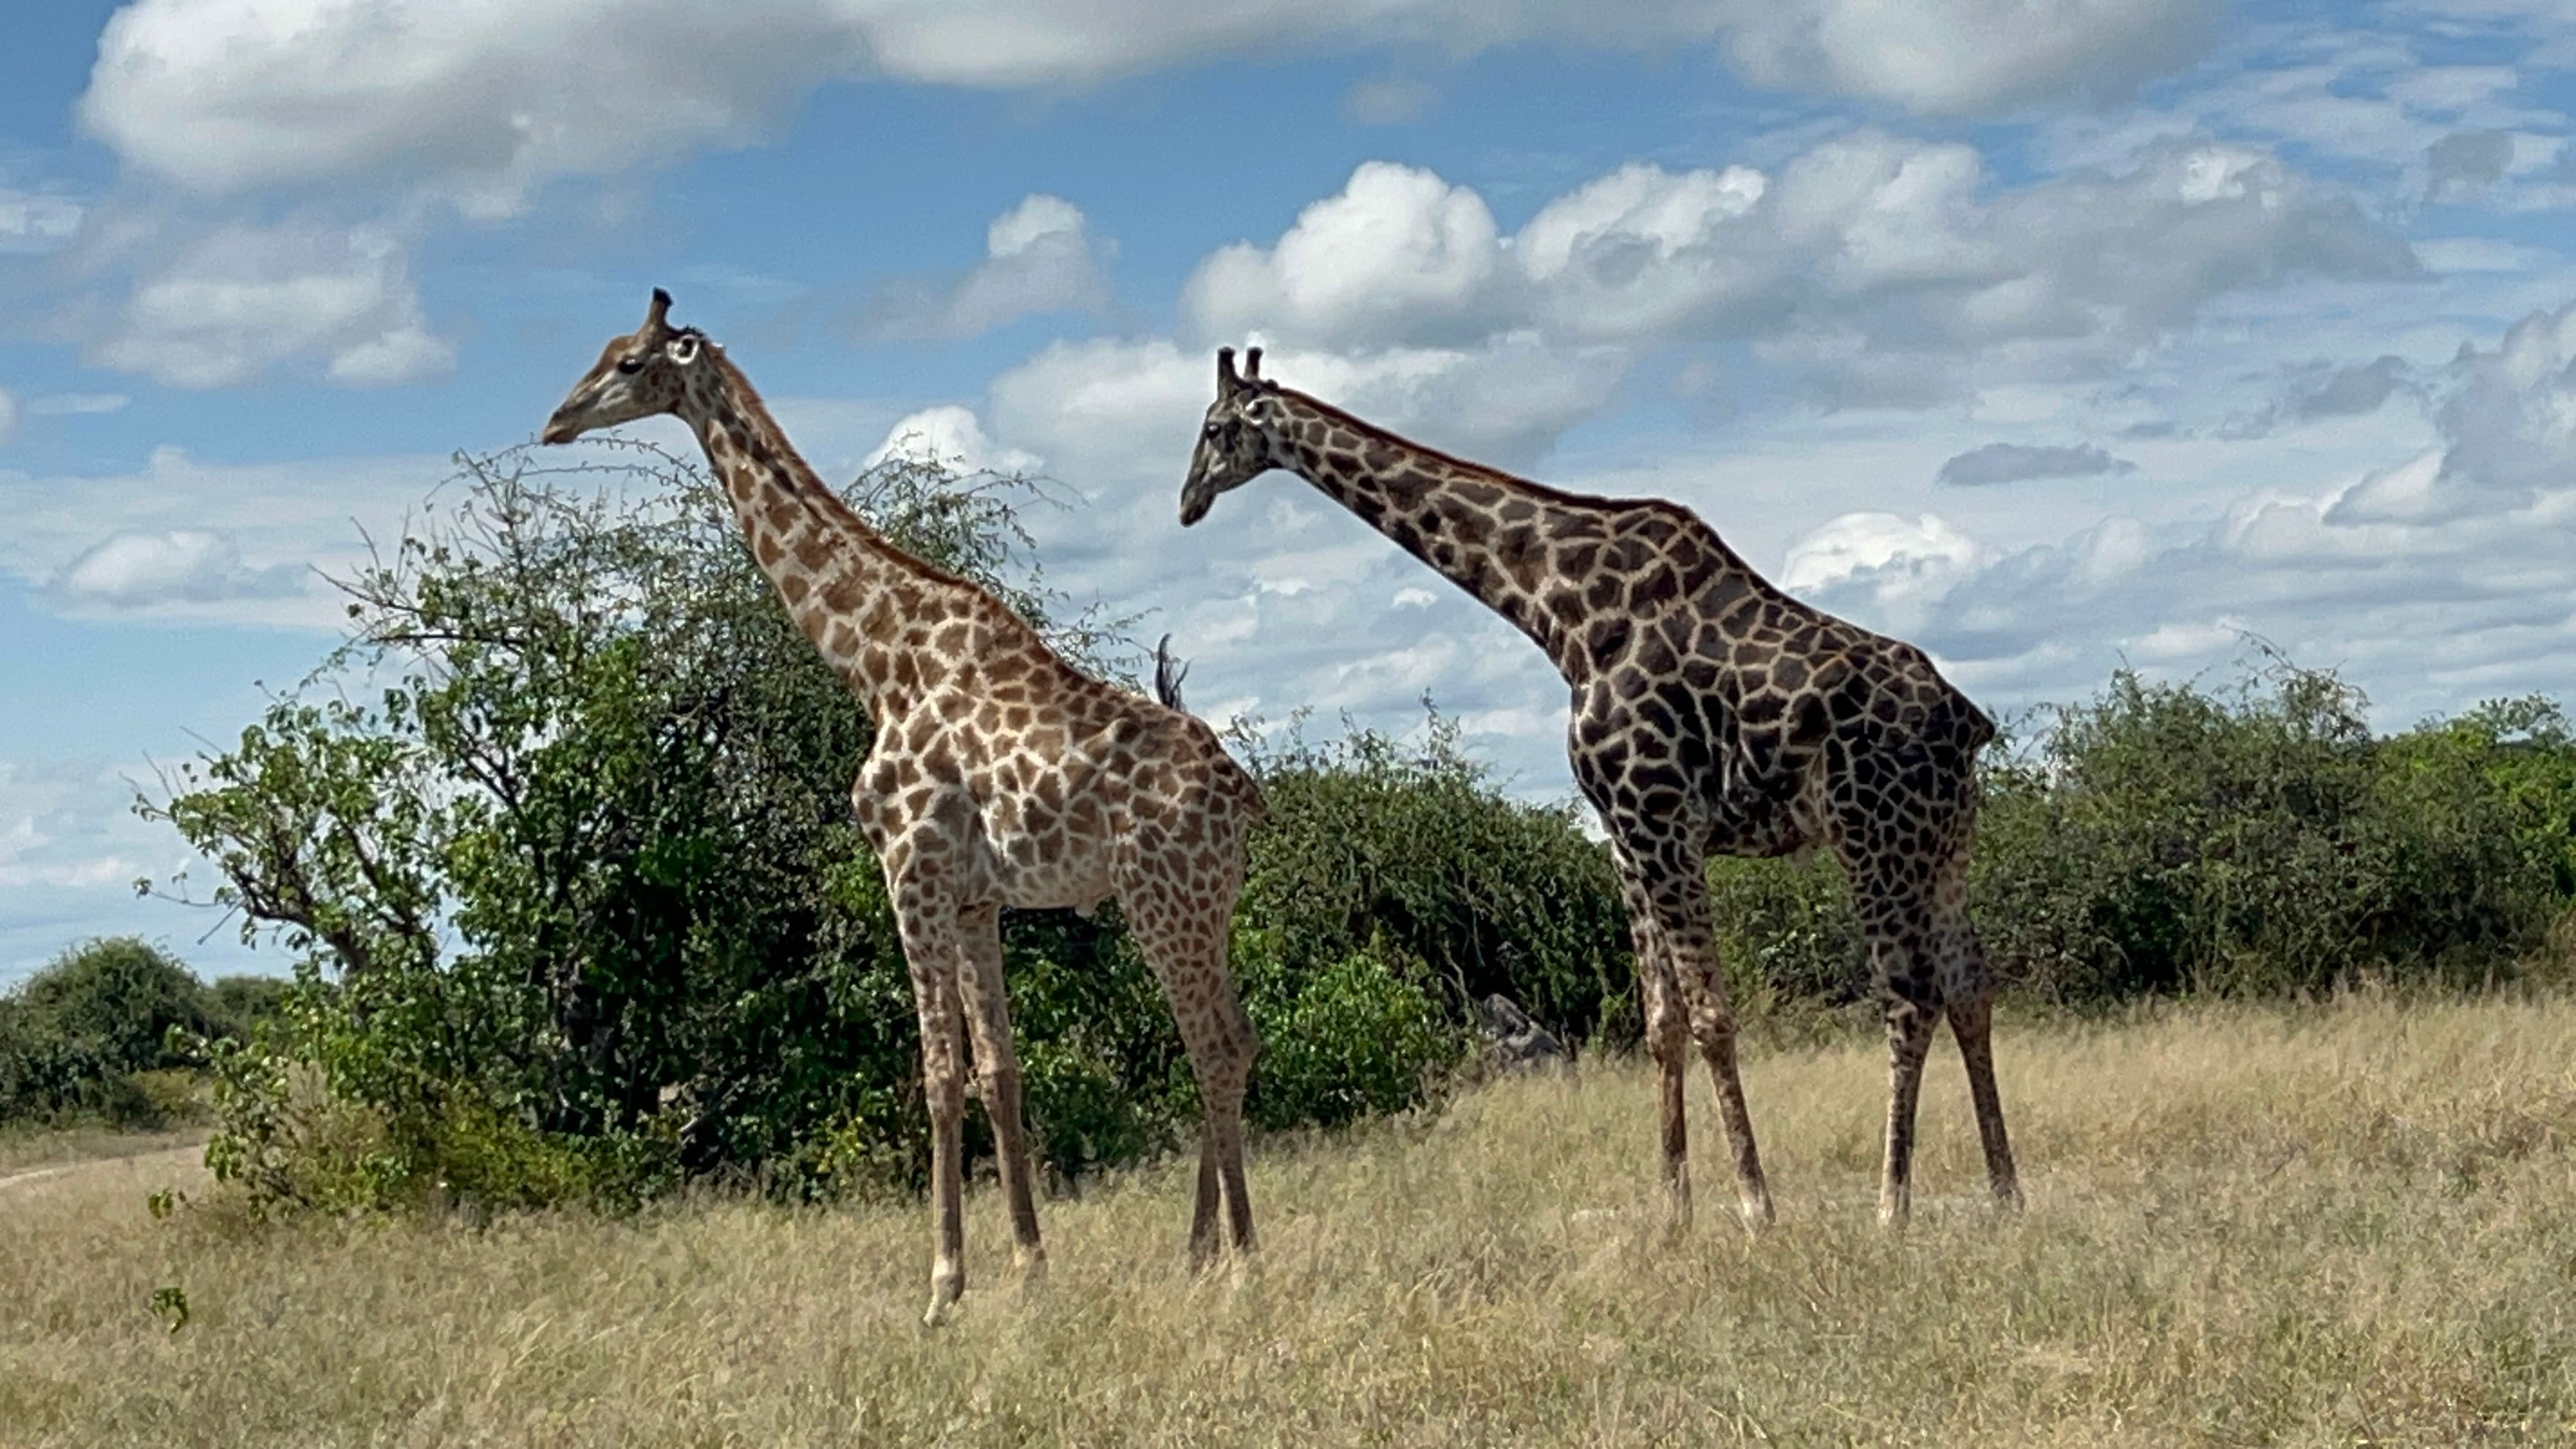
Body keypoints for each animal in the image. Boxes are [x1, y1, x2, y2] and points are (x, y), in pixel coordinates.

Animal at [541, 290, 1267, 1324]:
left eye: (631, 364)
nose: (555, 421)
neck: (875, 661)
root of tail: (1241, 793)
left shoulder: (909, 872)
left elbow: (935, 1074)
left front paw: (942, 1287)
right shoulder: (974, 899)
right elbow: (999, 1071)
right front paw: (1029, 1268)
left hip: (1162, 899)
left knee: (1211, 1045)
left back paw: (1240, 1261)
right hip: (1206, 905)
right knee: (1232, 1039)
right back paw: (1199, 1252)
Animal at [1177, 346, 2019, 1230]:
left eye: (1214, 429)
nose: (1187, 501)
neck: (1558, 610)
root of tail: (1966, 721)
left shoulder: (1660, 820)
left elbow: (1712, 1016)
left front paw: (1755, 1206)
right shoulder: (1624, 837)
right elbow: (1662, 1021)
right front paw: (1673, 1209)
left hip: (1872, 835)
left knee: (1908, 996)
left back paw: (1891, 1206)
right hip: (1946, 840)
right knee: (1969, 986)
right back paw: (2005, 1192)